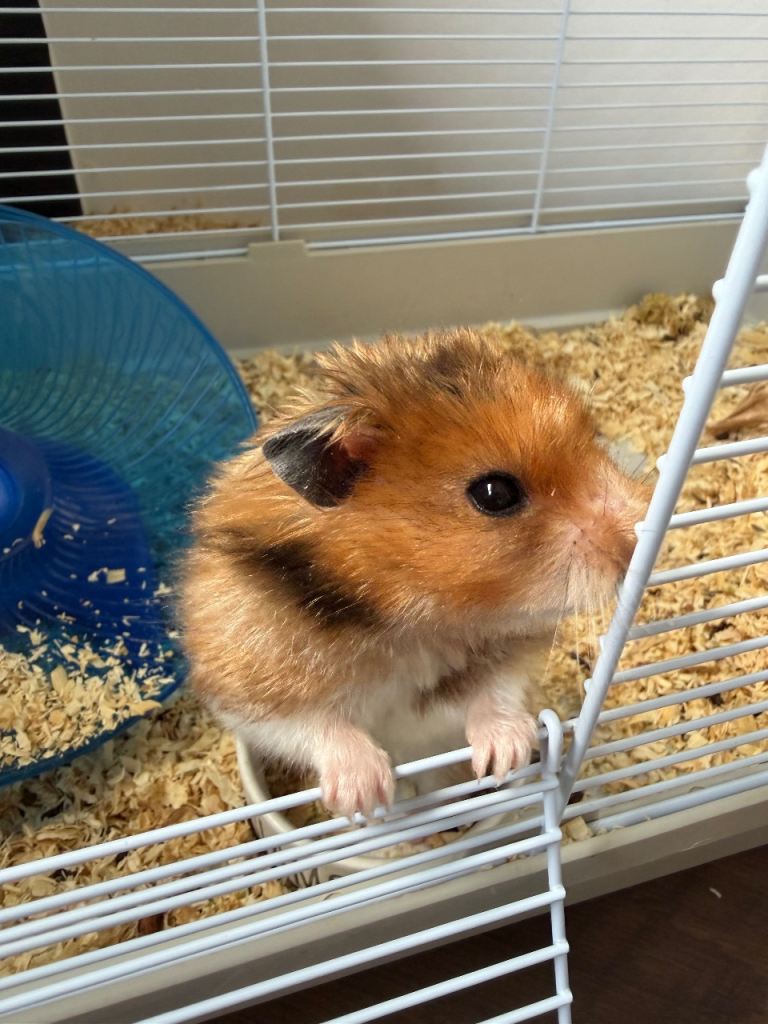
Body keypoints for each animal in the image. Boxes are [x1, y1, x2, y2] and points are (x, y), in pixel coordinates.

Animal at [180, 329, 648, 818]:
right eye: (495, 493)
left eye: (594, 438)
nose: (640, 539)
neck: (412, 620)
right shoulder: (246, 684)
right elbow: (313, 725)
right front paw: (365, 795)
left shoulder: (507, 655)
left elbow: (497, 689)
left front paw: (505, 758)